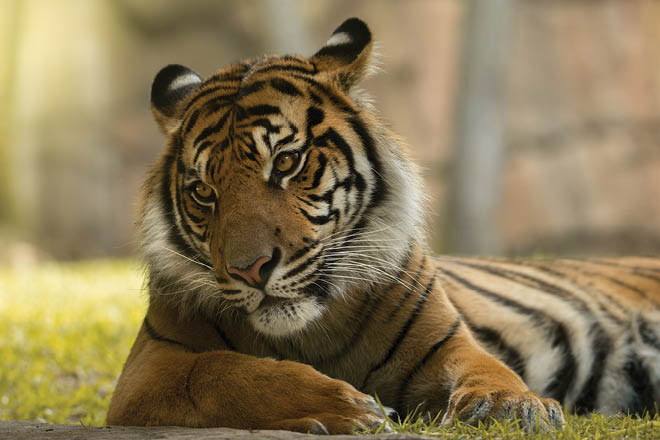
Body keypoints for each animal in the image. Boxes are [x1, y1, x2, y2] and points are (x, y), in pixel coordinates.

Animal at [107, 17, 660, 434]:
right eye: (204, 192)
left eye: (285, 162)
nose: (250, 270)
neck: (313, 330)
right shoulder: (151, 367)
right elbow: (224, 373)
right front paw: (345, 407)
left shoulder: (447, 344)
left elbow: (488, 368)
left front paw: (512, 406)